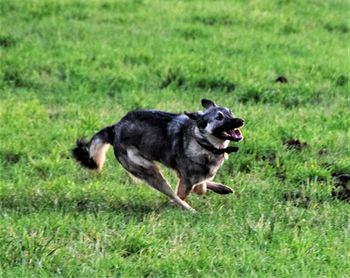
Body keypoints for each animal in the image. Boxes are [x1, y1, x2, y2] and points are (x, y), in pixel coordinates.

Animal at [72, 99, 245, 212]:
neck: (203, 142)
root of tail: (115, 128)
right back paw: (189, 210)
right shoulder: (186, 180)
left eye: (230, 112)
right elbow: (193, 189)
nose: (241, 120)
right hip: (149, 170)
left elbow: (201, 184)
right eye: (219, 117)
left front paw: (219, 187)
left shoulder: (188, 176)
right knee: (173, 195)